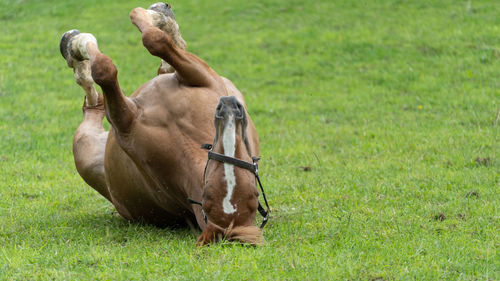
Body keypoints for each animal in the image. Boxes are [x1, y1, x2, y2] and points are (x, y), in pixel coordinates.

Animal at [60, 2, 270, 244]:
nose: (230, 106)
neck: (184, 142)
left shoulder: (124, 123)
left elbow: (121, 59)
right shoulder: (195, 78)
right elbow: (154, 44)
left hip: (86, 151)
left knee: (94, 108)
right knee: (164, 65)